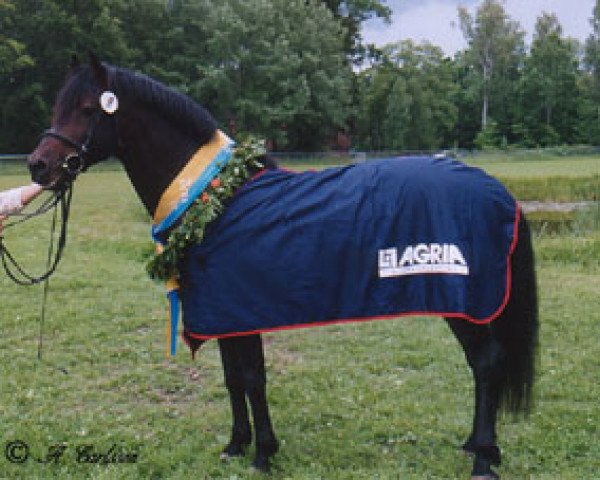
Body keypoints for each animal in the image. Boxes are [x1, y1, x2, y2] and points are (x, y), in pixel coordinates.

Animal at [27, 55, 540, 476]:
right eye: (57, 108)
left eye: (88, 110)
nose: (38, 166)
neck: (213, 202)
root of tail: (496, 189)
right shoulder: (224, 312)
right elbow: (233, 378)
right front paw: (237, 445)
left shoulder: (243, 308)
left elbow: (253, 379)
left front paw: (263, 454)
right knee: (482, 366)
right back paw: (476, 446)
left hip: (465, 301)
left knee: (486, 363)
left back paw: (483, 459)